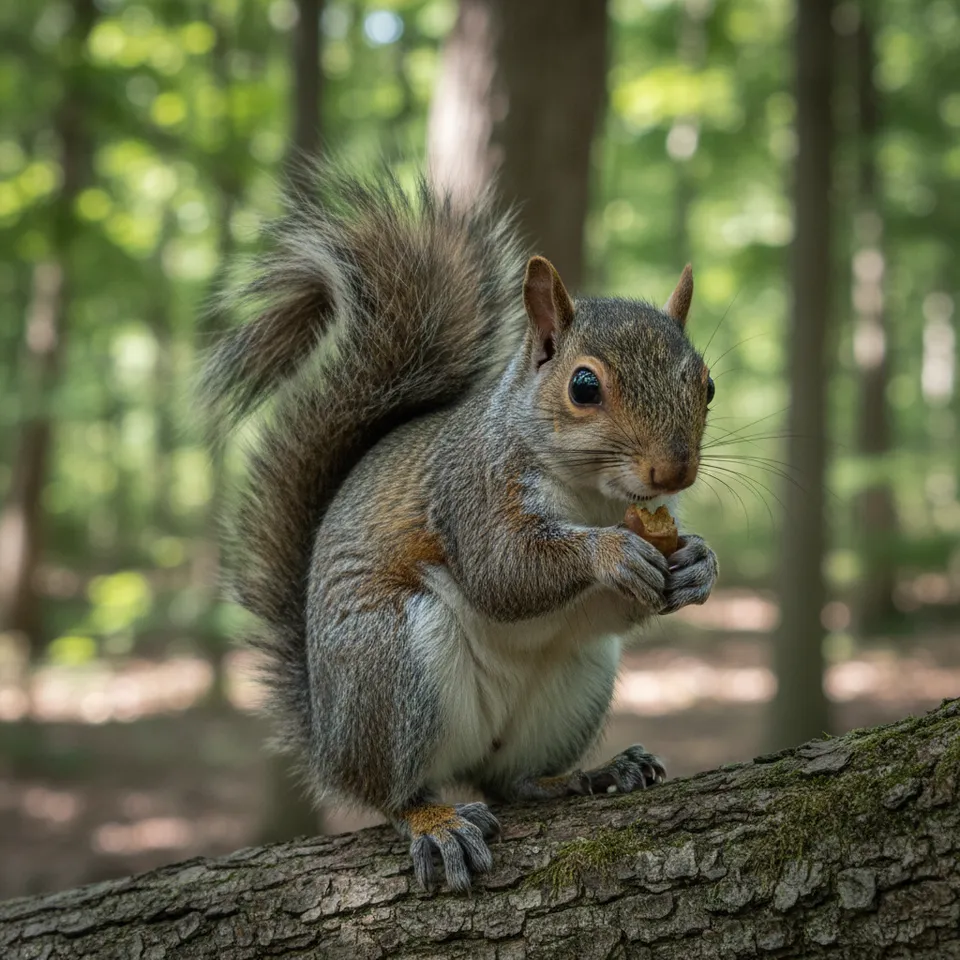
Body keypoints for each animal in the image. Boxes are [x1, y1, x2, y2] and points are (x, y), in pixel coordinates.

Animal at [200, 163, 719, 893]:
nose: (675, 470)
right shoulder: (470, 489)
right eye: (584, 387)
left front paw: (698, 563)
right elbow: (503, 572)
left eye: (707, 385)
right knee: (390, 793)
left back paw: (588, 774)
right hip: (390, 667)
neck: (591, 497)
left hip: (575, 684)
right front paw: (612, 553)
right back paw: (433, 821)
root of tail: (328, 741)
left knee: (511, 781)